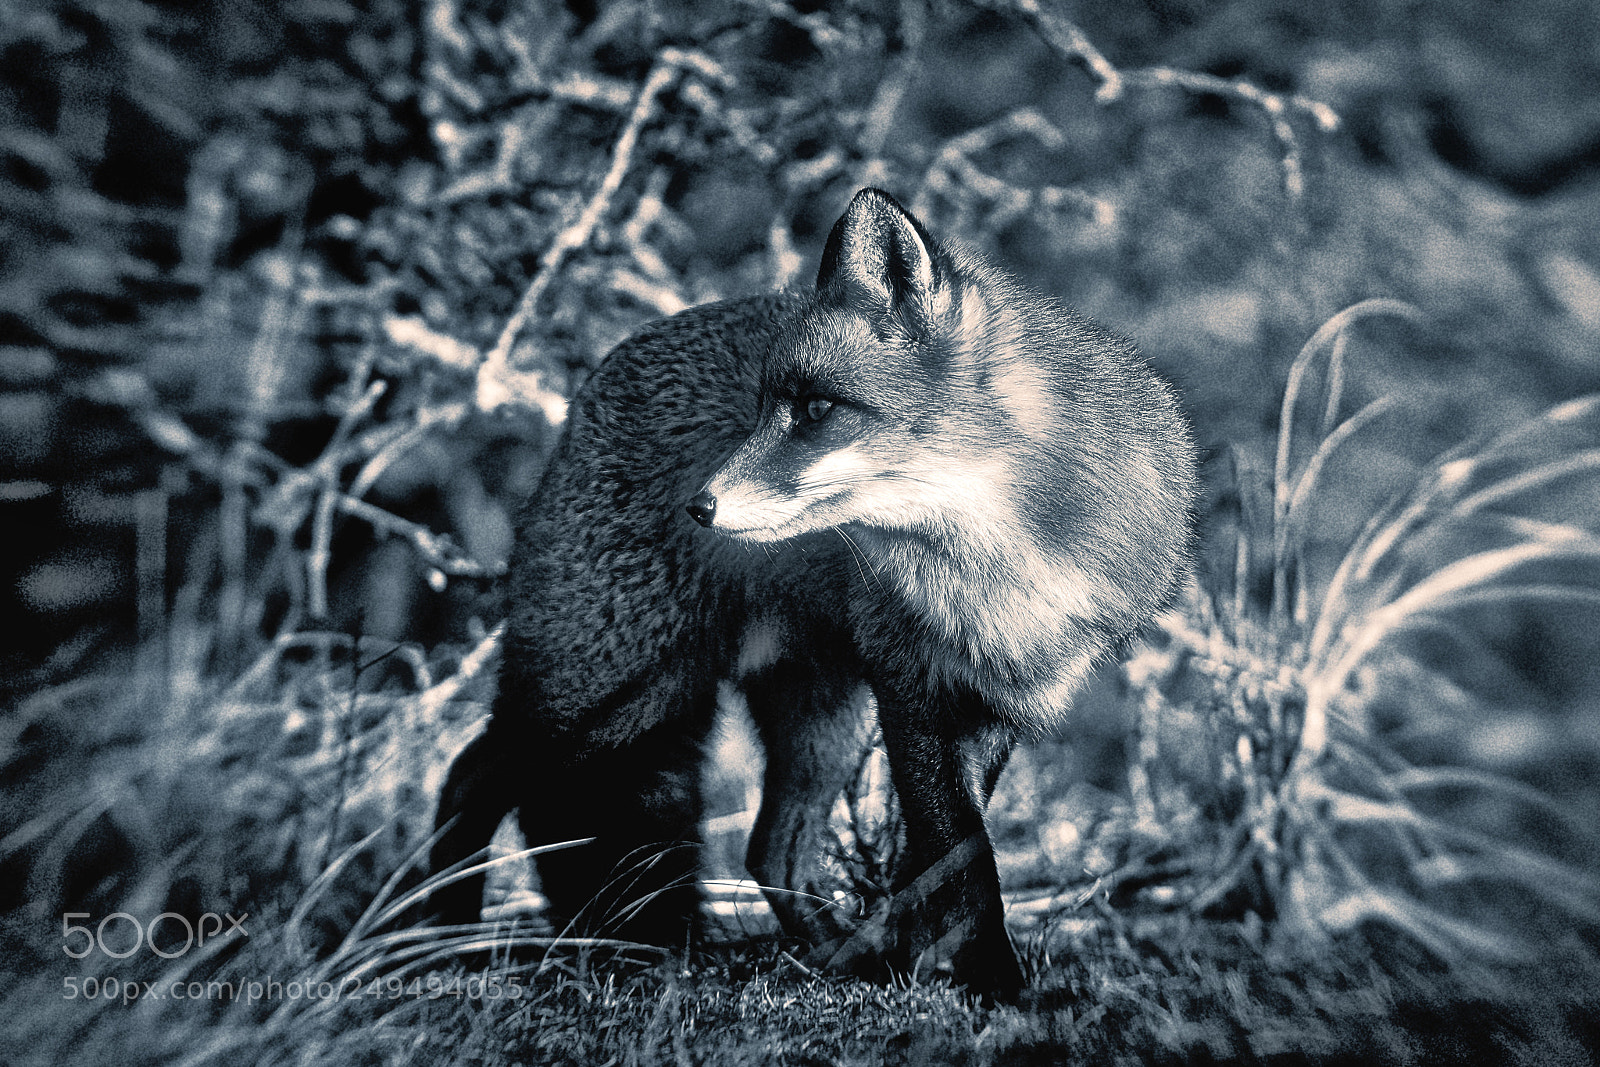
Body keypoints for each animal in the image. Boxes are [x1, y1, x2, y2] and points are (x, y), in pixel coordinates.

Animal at [430, 188, 1197, 998]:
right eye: (765, 406)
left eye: (816, 409)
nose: (697, 506)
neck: (1005, 563)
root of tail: (594, 383)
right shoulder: (911, 685)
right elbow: (964, 858)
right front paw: (998, 982)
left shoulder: (1001, 695)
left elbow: (931, 862)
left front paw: (922, 963)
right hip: (612, 690)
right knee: (478, 771)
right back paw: (434, 931)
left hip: (809, 711)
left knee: (772, 846)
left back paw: (836, 954)